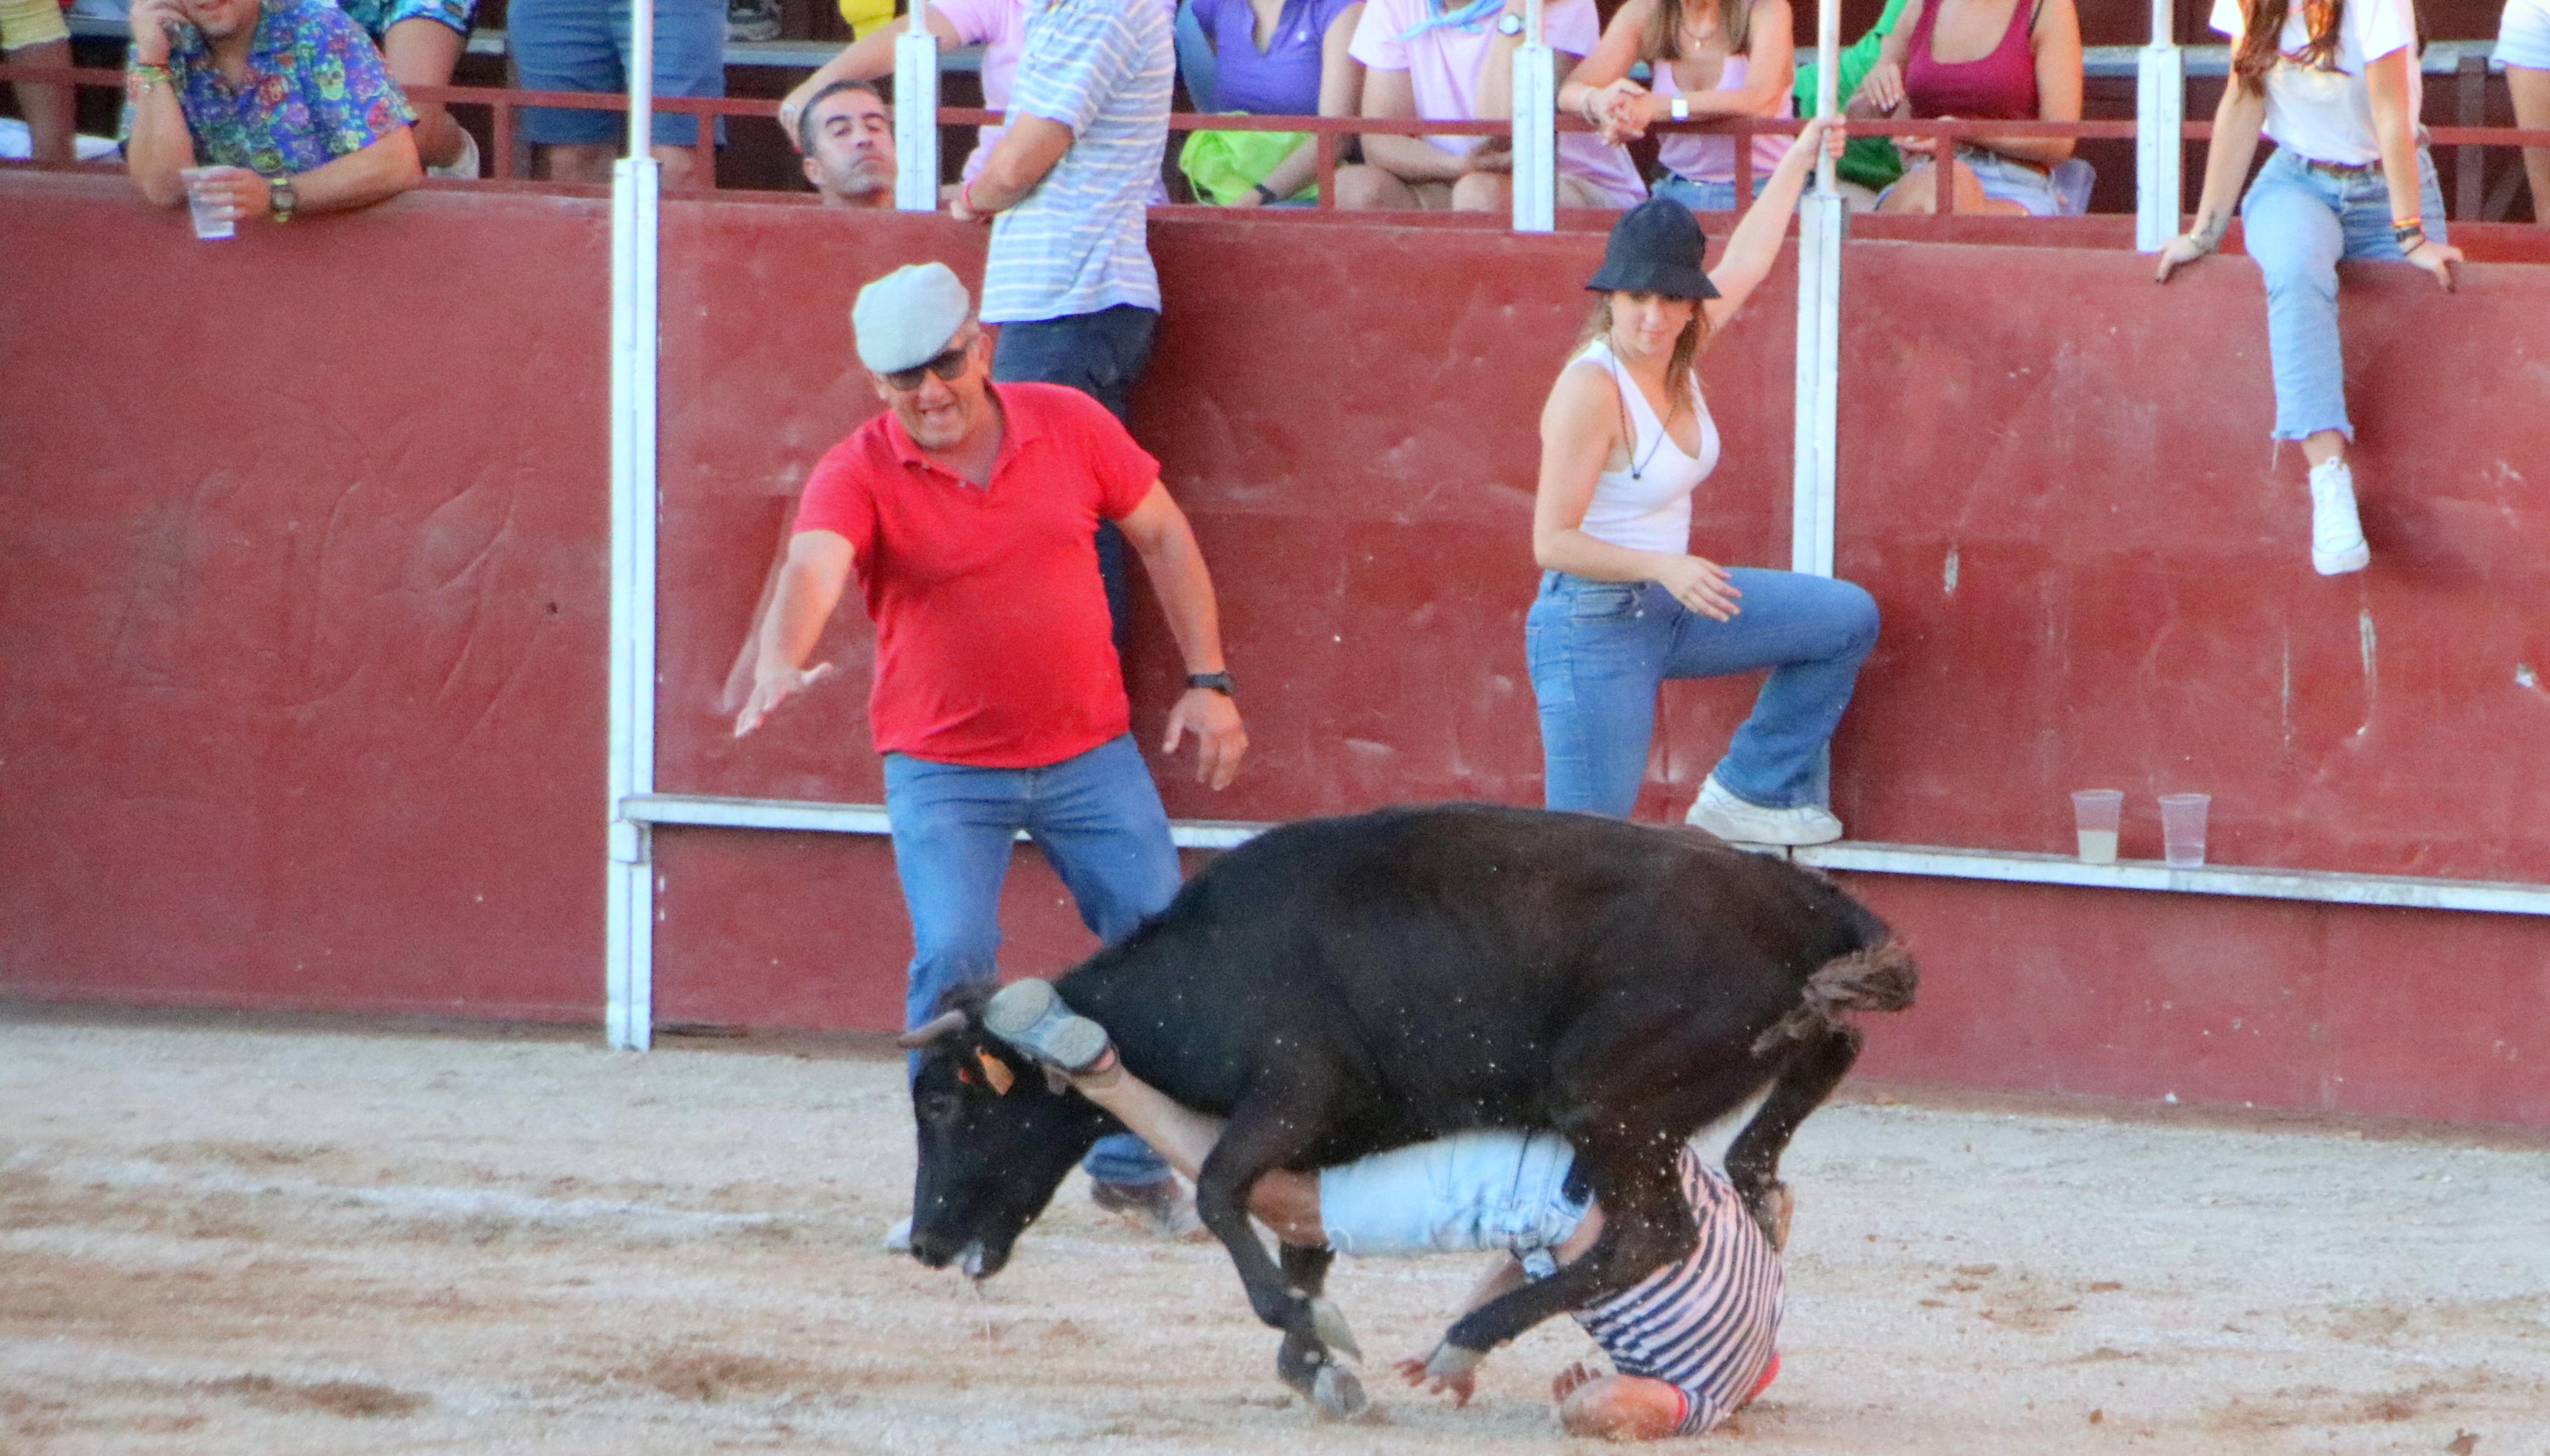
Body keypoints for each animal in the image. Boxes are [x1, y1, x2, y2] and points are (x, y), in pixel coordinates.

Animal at [903, 805, 1917, 1418]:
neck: (1208, 963)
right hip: (1704, 1091)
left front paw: (1304, 1330)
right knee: (1796, 1096)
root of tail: (1809, 905)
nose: (921, 1242)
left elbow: (1224, 1193)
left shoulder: (1291, 1095)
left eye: (945, 1100)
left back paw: (1462, 1341)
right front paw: (1314, 1364)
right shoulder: (1325, 1136)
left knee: (1654, 1234)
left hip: (1603, 1103)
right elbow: (1299, 1240)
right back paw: (1760, 1193)